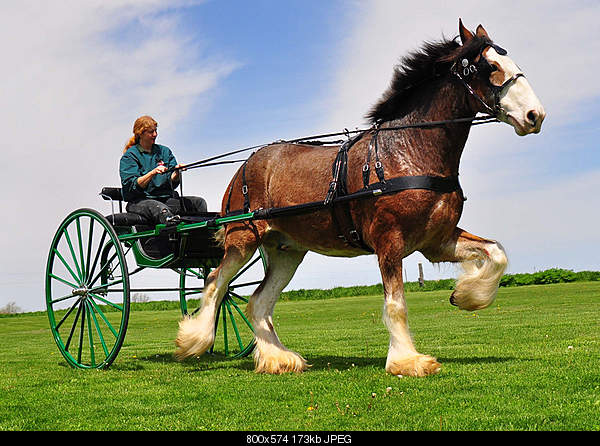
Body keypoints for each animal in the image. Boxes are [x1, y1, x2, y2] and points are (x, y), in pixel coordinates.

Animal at [173, 20, 544, 376]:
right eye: (489, 66)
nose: (535, 115)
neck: (408, 150)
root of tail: (246, 165)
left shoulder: (436, 241)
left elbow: (496, 253)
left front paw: (467, 296)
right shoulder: (389, 241)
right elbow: (396, 304)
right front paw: (407, 361)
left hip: (286, 251)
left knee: (259, 301)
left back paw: (278, 358)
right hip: (243, 240)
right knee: (216, 283)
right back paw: (195, 339)